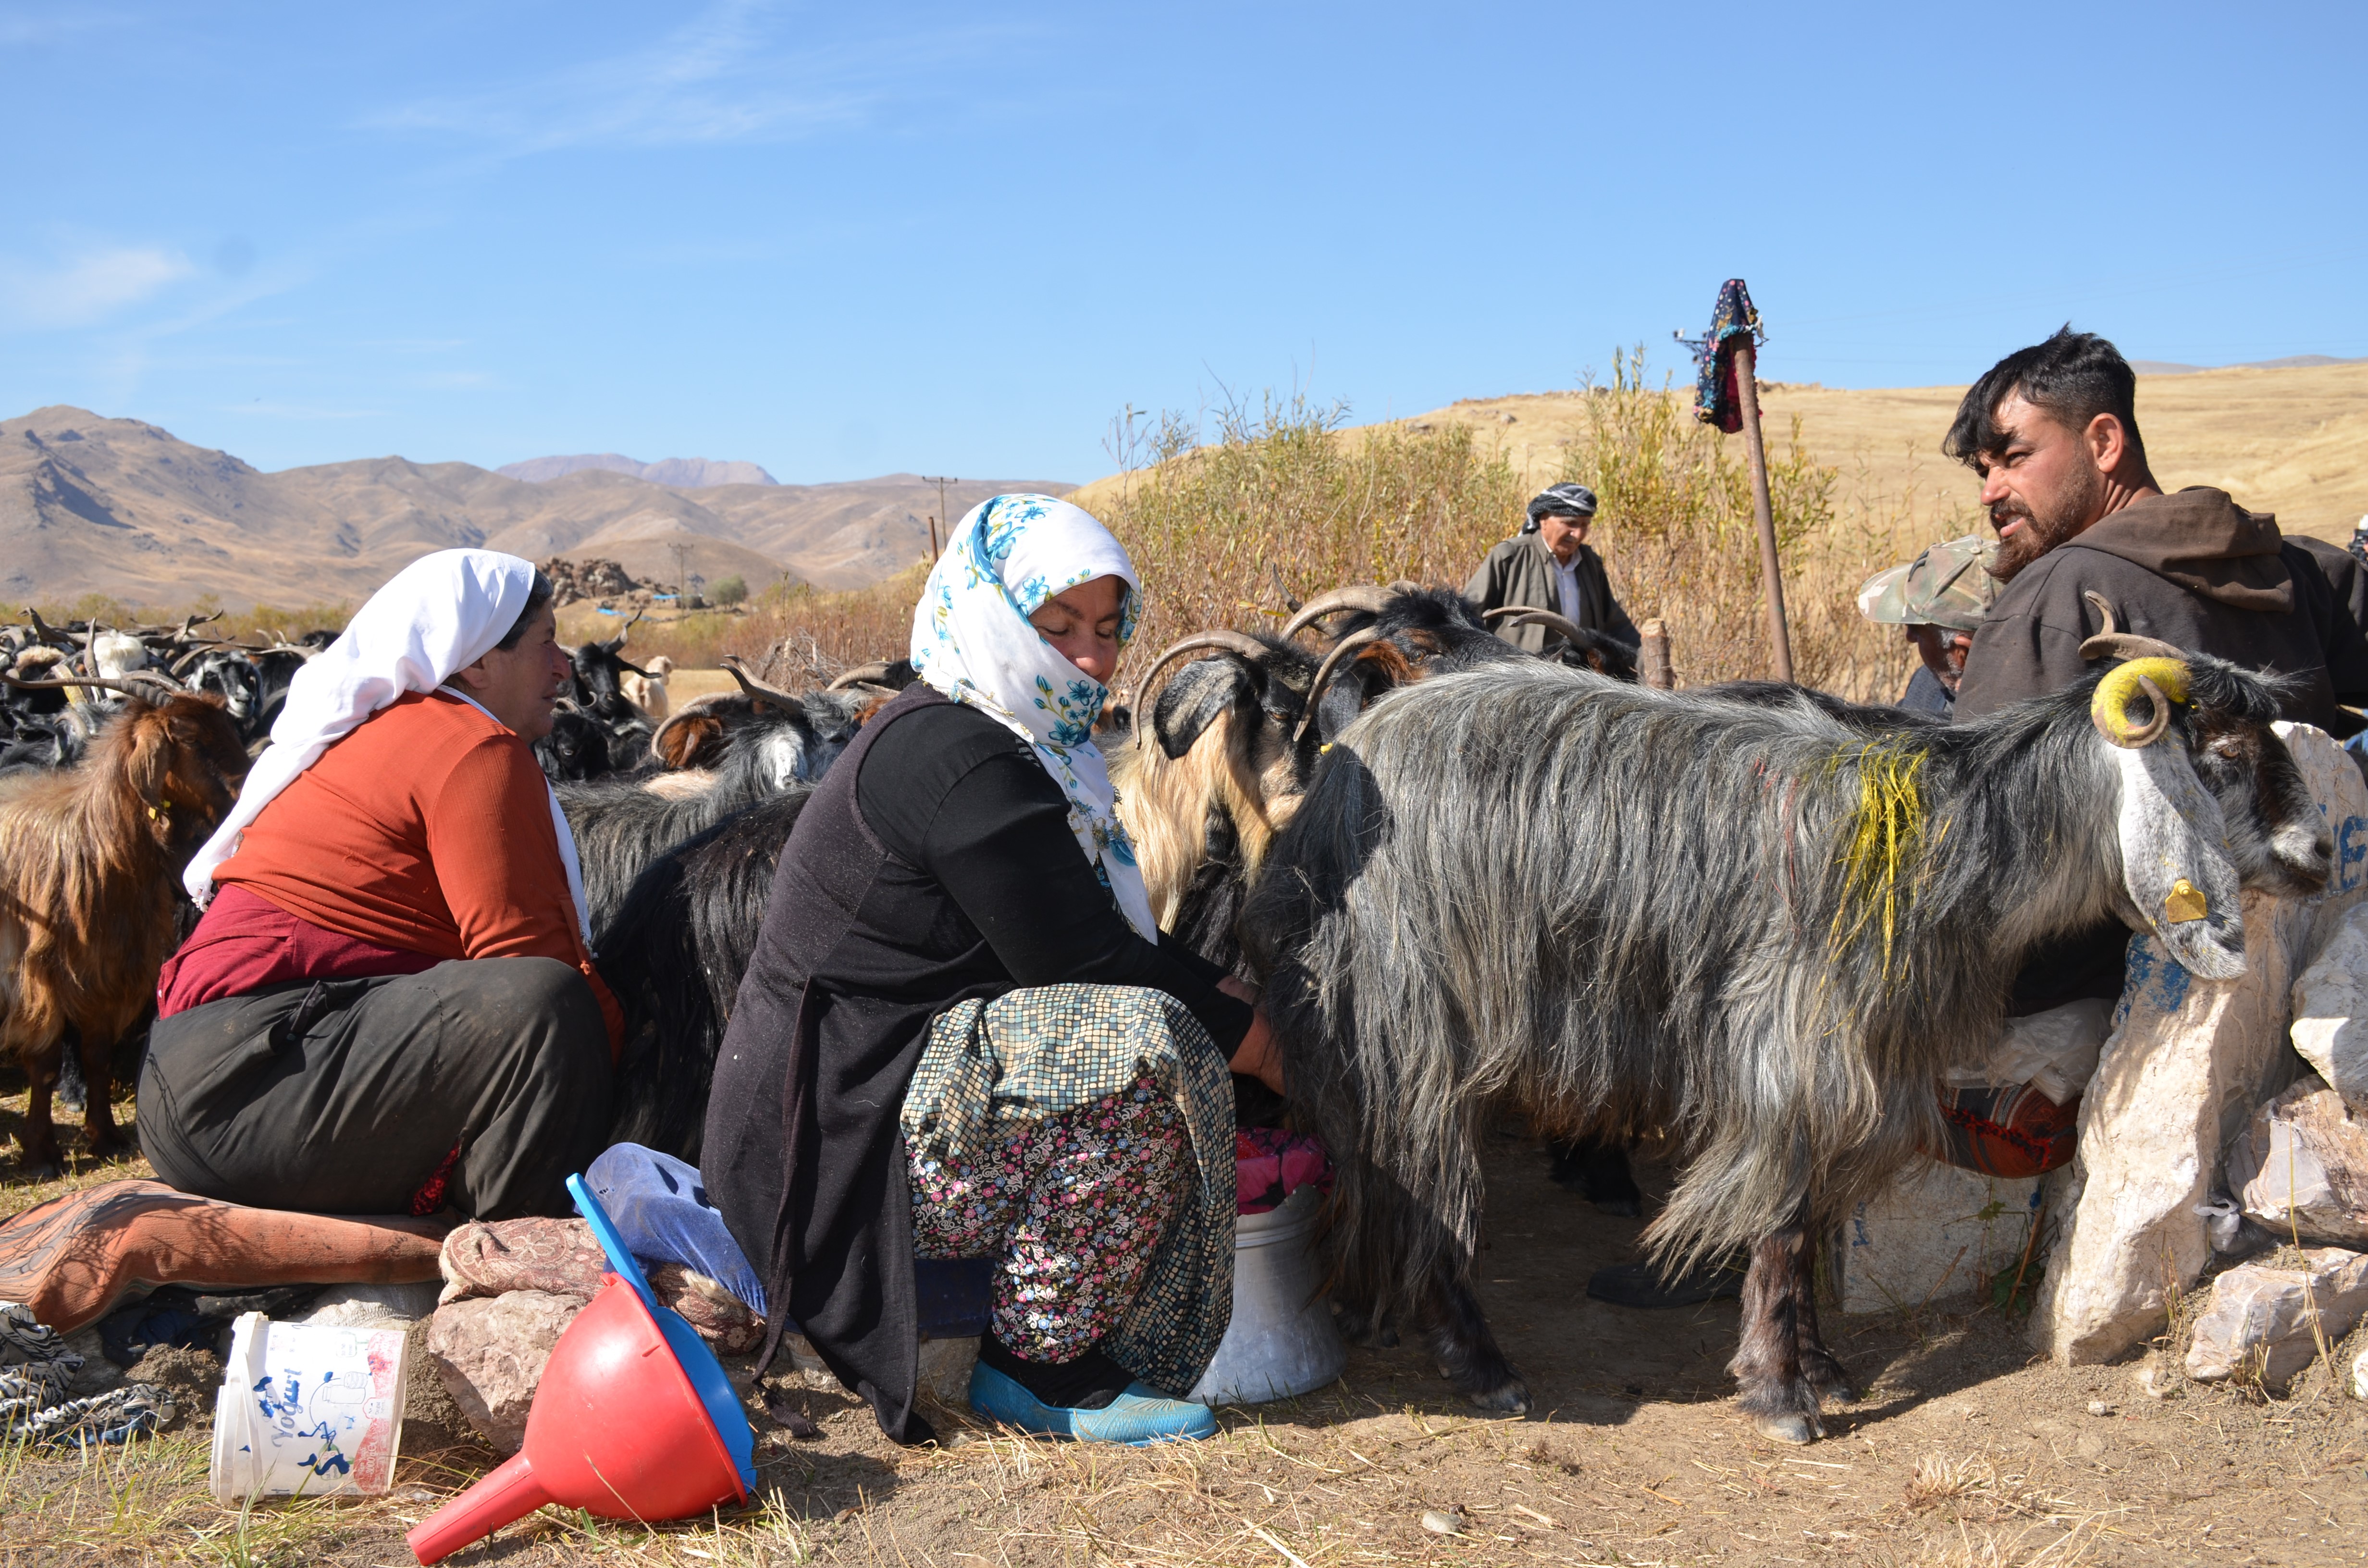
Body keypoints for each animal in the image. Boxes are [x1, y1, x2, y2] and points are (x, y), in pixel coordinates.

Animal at [2, 686, 247, 1179]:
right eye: (191, 740)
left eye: (228, 727)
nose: (246, 783)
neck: (94, 841)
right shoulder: (39, 983)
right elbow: (45, 1066)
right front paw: (42, 1154)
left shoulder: (104, 973)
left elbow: (96, 1055)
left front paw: (107, 1137)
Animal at [1241, 649, 2330, 1449]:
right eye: (2220, 754)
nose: (2321, 853)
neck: (1940, 838)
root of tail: (1334, 770)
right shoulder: (1792, 1057)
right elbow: (1775, 1223)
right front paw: (1778, 1396)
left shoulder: (1858, 1069)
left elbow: (1805, 1226)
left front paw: (1819, 1367)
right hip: (1408, 1017)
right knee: (1418, 1171)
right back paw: (1478, 1363)